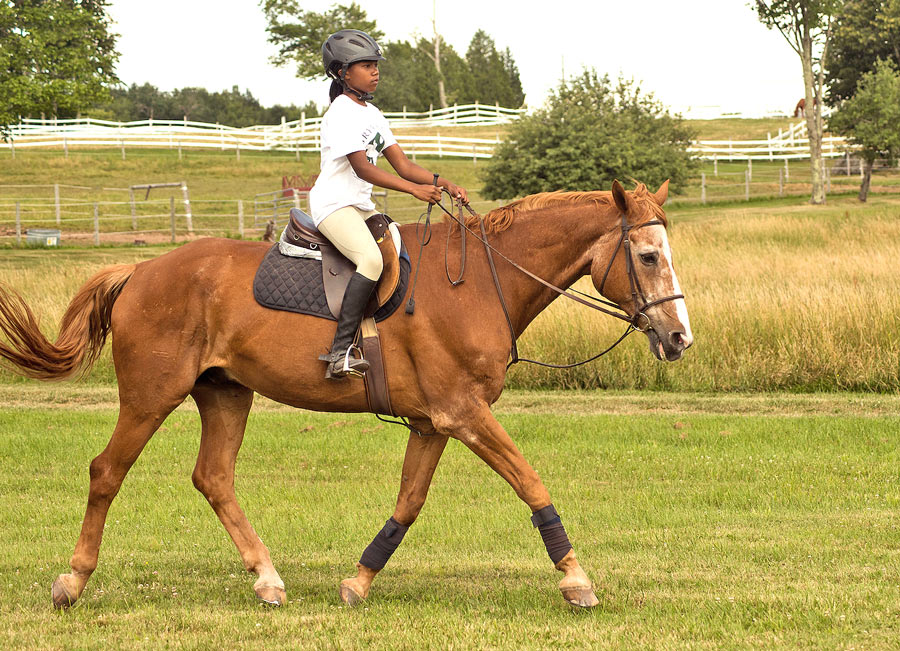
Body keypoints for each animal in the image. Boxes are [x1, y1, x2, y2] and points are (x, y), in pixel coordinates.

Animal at [0, 180, 696, 612]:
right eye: (646, 255)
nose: (679, 338)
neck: (481, 281)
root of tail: (141, 270)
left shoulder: (434, 423)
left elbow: (409, 503)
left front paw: (358, 582)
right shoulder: (465, 414)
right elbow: (531, 482)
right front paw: (576, 580)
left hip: (225, 394)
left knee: (213, 478)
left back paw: (267, 579)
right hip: (151, 395)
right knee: (107, 471)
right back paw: (72, 581)